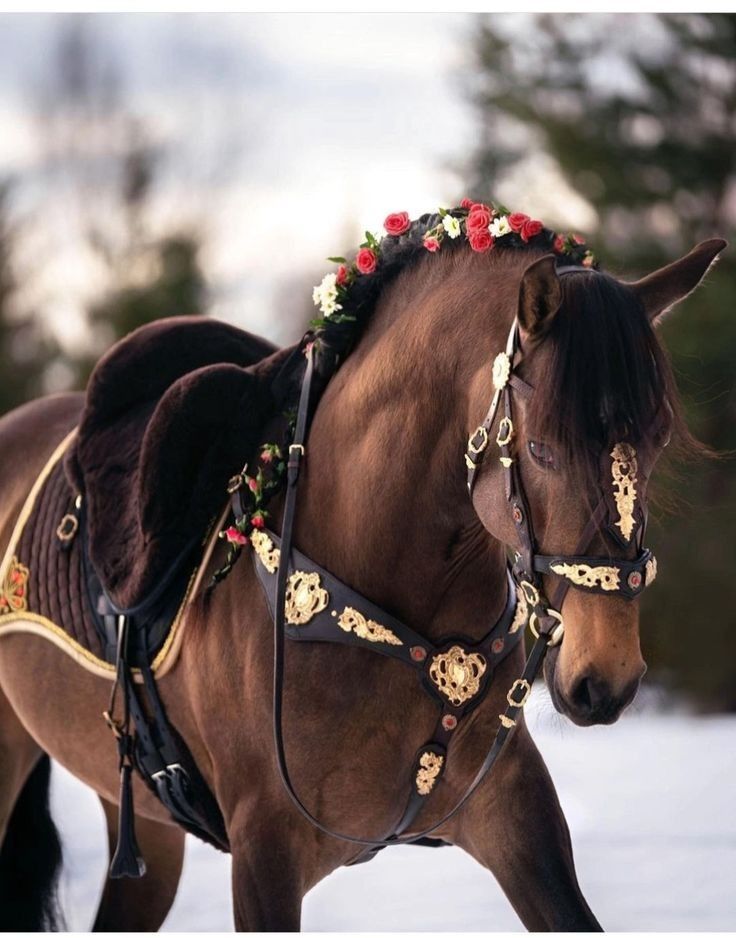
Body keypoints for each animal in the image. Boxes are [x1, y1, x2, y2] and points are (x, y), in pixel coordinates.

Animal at [0, 232, 724, 928]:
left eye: (659, 441)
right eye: (543, 448)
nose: (607, 676)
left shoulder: (515, 816)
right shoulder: (264, 852)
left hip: (147, 827)